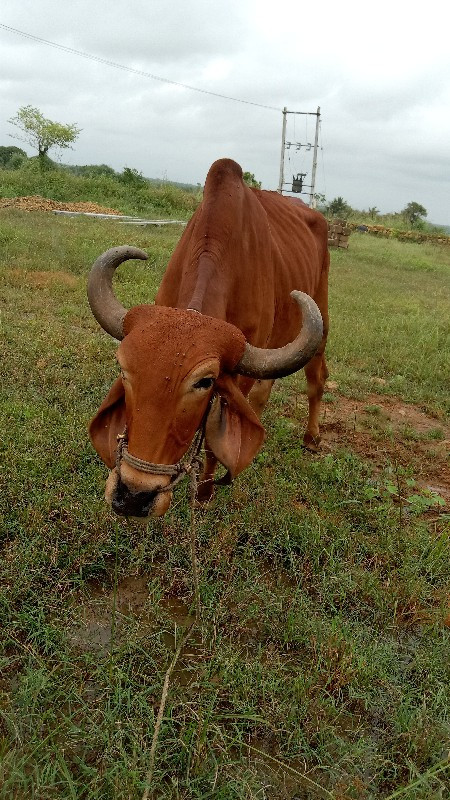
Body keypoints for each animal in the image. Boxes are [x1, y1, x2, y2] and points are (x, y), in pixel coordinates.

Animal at [88, 159, 328, 520]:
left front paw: (204, 493)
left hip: (322, 314)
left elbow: (217, 439)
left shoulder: (239, 371)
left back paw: (311, 437)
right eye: (124, 370)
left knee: (316, 379)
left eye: (204, 382)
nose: (132, 496)